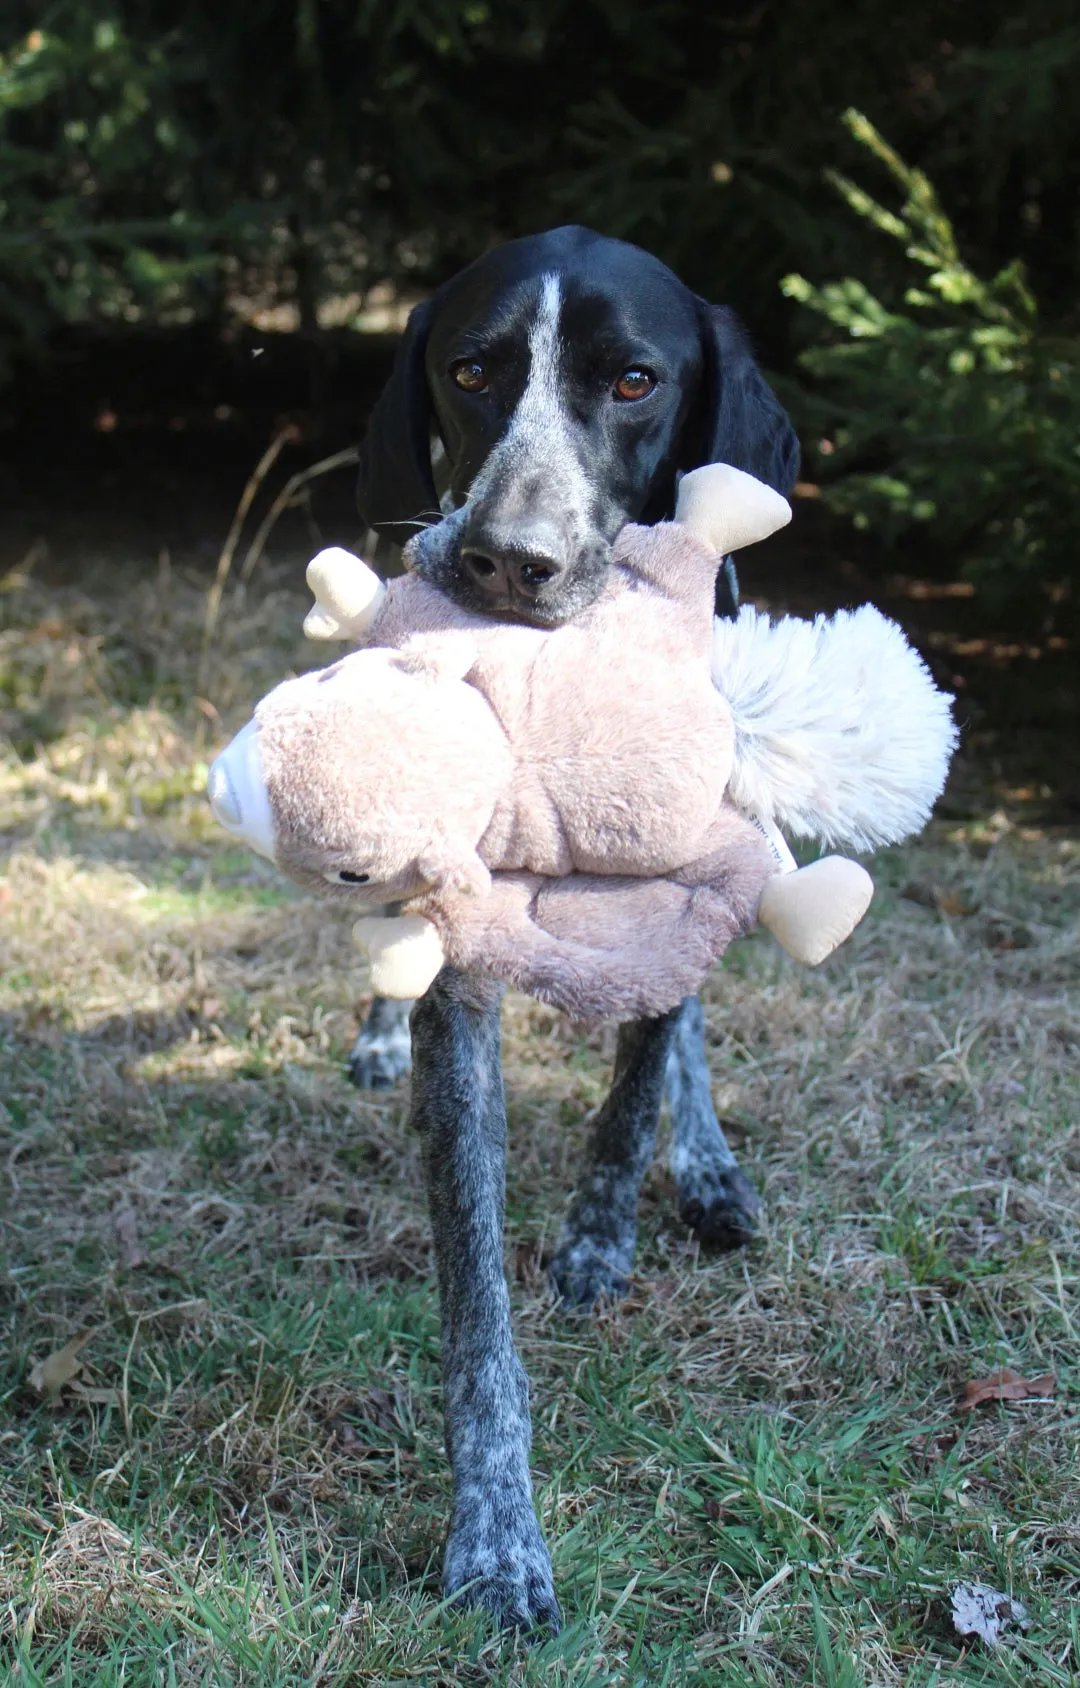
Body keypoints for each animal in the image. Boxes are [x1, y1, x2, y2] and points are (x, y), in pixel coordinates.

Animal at [351, 227, 796, 1633]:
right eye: (472, 368)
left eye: (636, 380)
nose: (506, 557)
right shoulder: (461, 985)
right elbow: (474, 1294)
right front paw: (495, 1536)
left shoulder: (694, 861)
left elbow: (643, 1068)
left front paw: (606, 1231)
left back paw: (706, 1166)